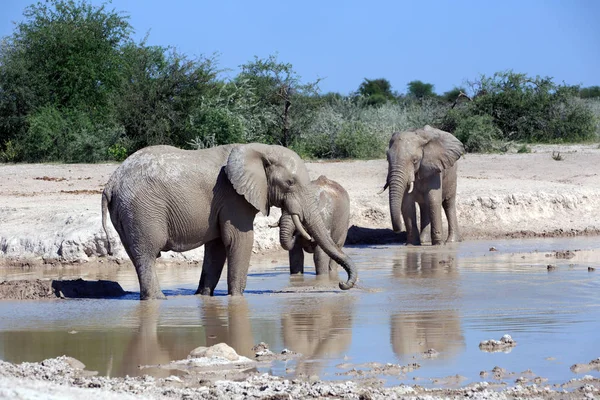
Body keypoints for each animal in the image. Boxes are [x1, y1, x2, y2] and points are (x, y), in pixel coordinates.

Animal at [102, 142, 356, 298]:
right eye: (290, 183)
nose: (342, 285)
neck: (259, 149)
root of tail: (111, 183)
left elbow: (216, 248)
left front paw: (204, 297)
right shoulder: (233, 196)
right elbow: (239, 240)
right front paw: (236, 298)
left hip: (128, 212)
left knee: (138, 256)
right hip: (141, 210)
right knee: (146, 255)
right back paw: (159, 299)